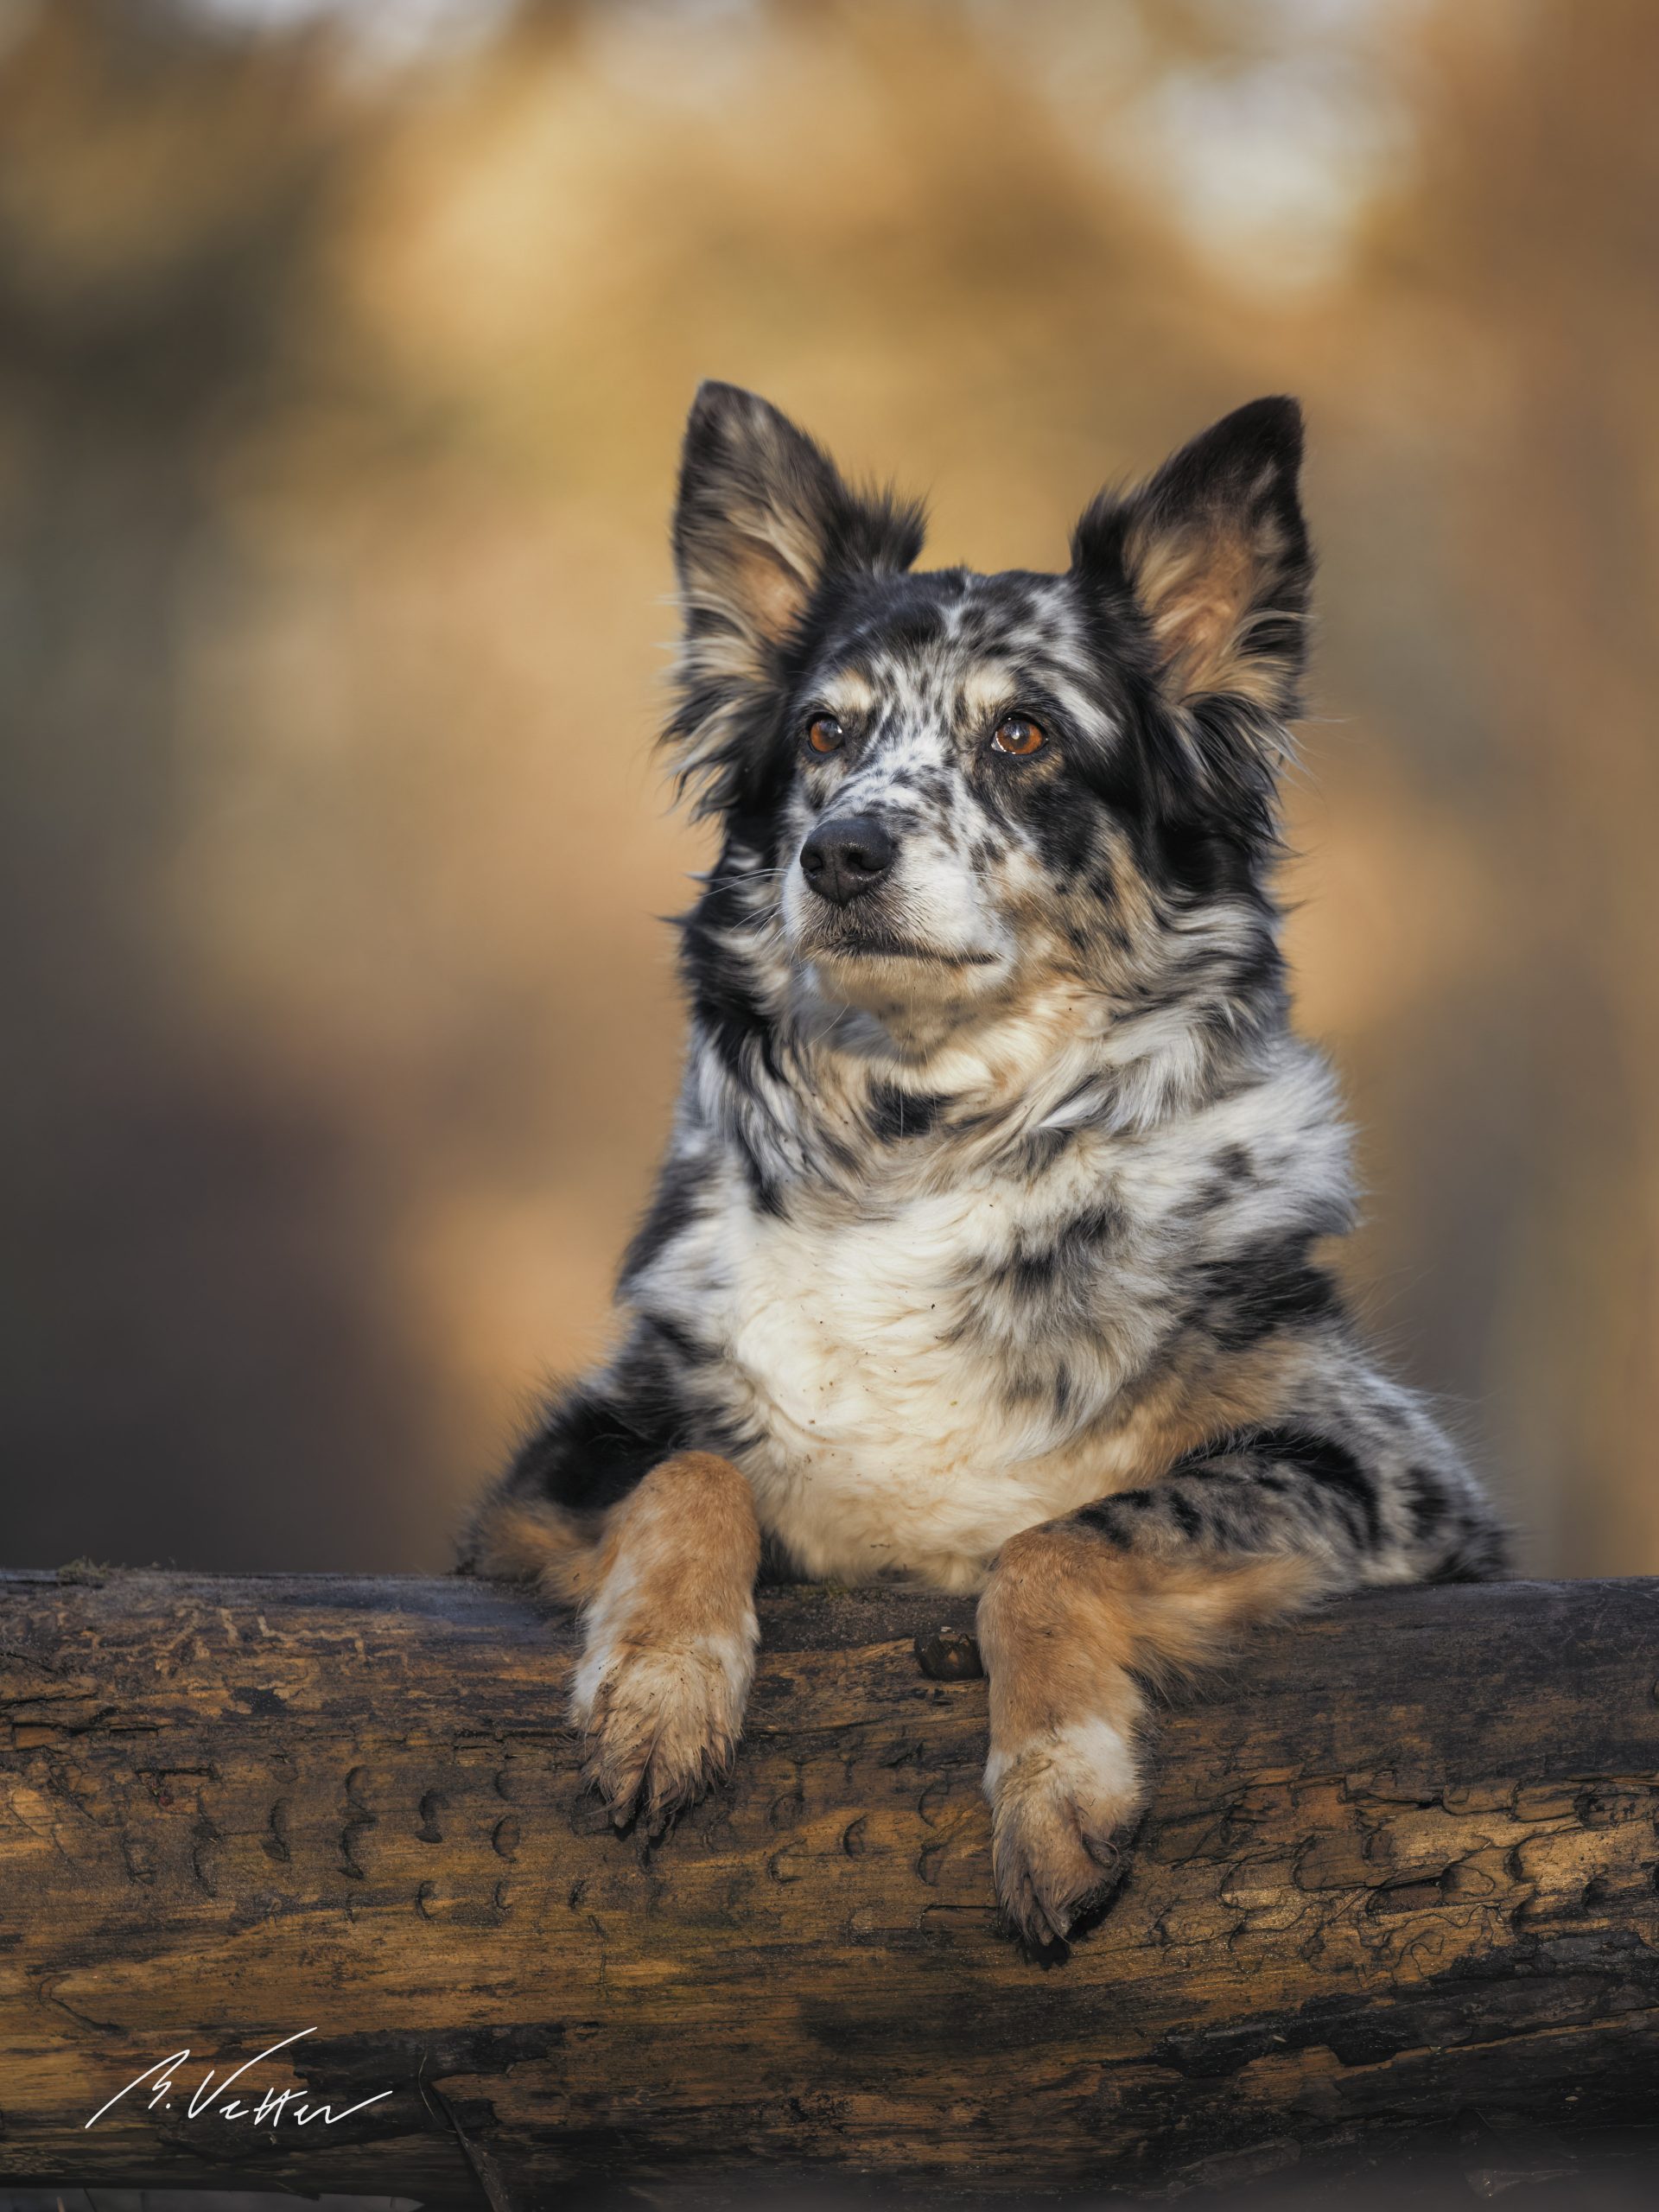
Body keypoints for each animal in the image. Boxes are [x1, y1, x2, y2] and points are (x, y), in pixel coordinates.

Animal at [462, 385, 1513, 1955]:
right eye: (824, 732)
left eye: (1023, 733)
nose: (841, 854)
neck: (928, 1149)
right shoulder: (556, 1465)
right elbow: (694, 1477)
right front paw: (659, 1689)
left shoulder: (1387, 1477)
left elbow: (1057, 1543)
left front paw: (1056, 1788)